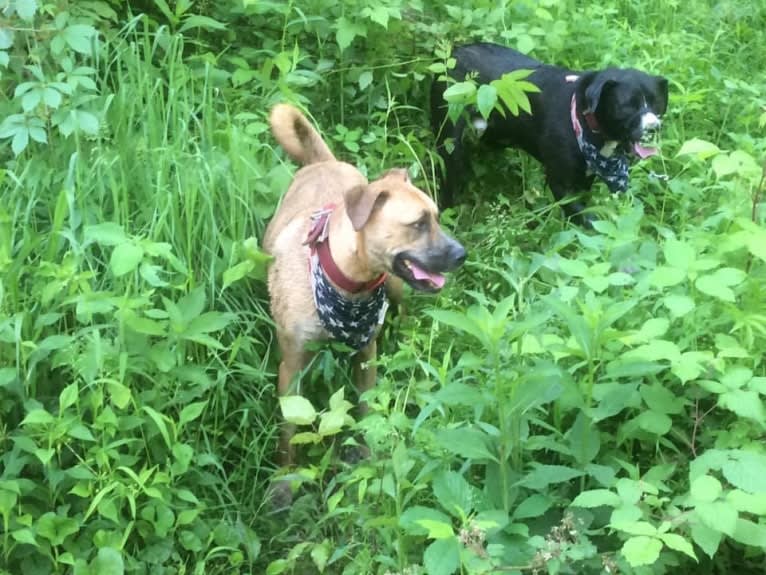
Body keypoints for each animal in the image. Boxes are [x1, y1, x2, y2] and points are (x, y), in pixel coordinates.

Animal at [264, 104, 468, 472]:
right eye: (418, 223)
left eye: (436, 216)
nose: (462, 254)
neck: (346, 283)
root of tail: (322, 161)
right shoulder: (291, 368)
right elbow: (289, 432)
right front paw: (285, 475)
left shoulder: (365, 355)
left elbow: (366, 409)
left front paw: (369, 455)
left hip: (397, 287)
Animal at [432, 42, 672, 223]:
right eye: (626, 106)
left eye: (657, 103)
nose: (654, 127)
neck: (582, 119)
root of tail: (455, 51)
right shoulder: (560, 183)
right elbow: (585, 218)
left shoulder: (586, 178)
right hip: (449, 140)